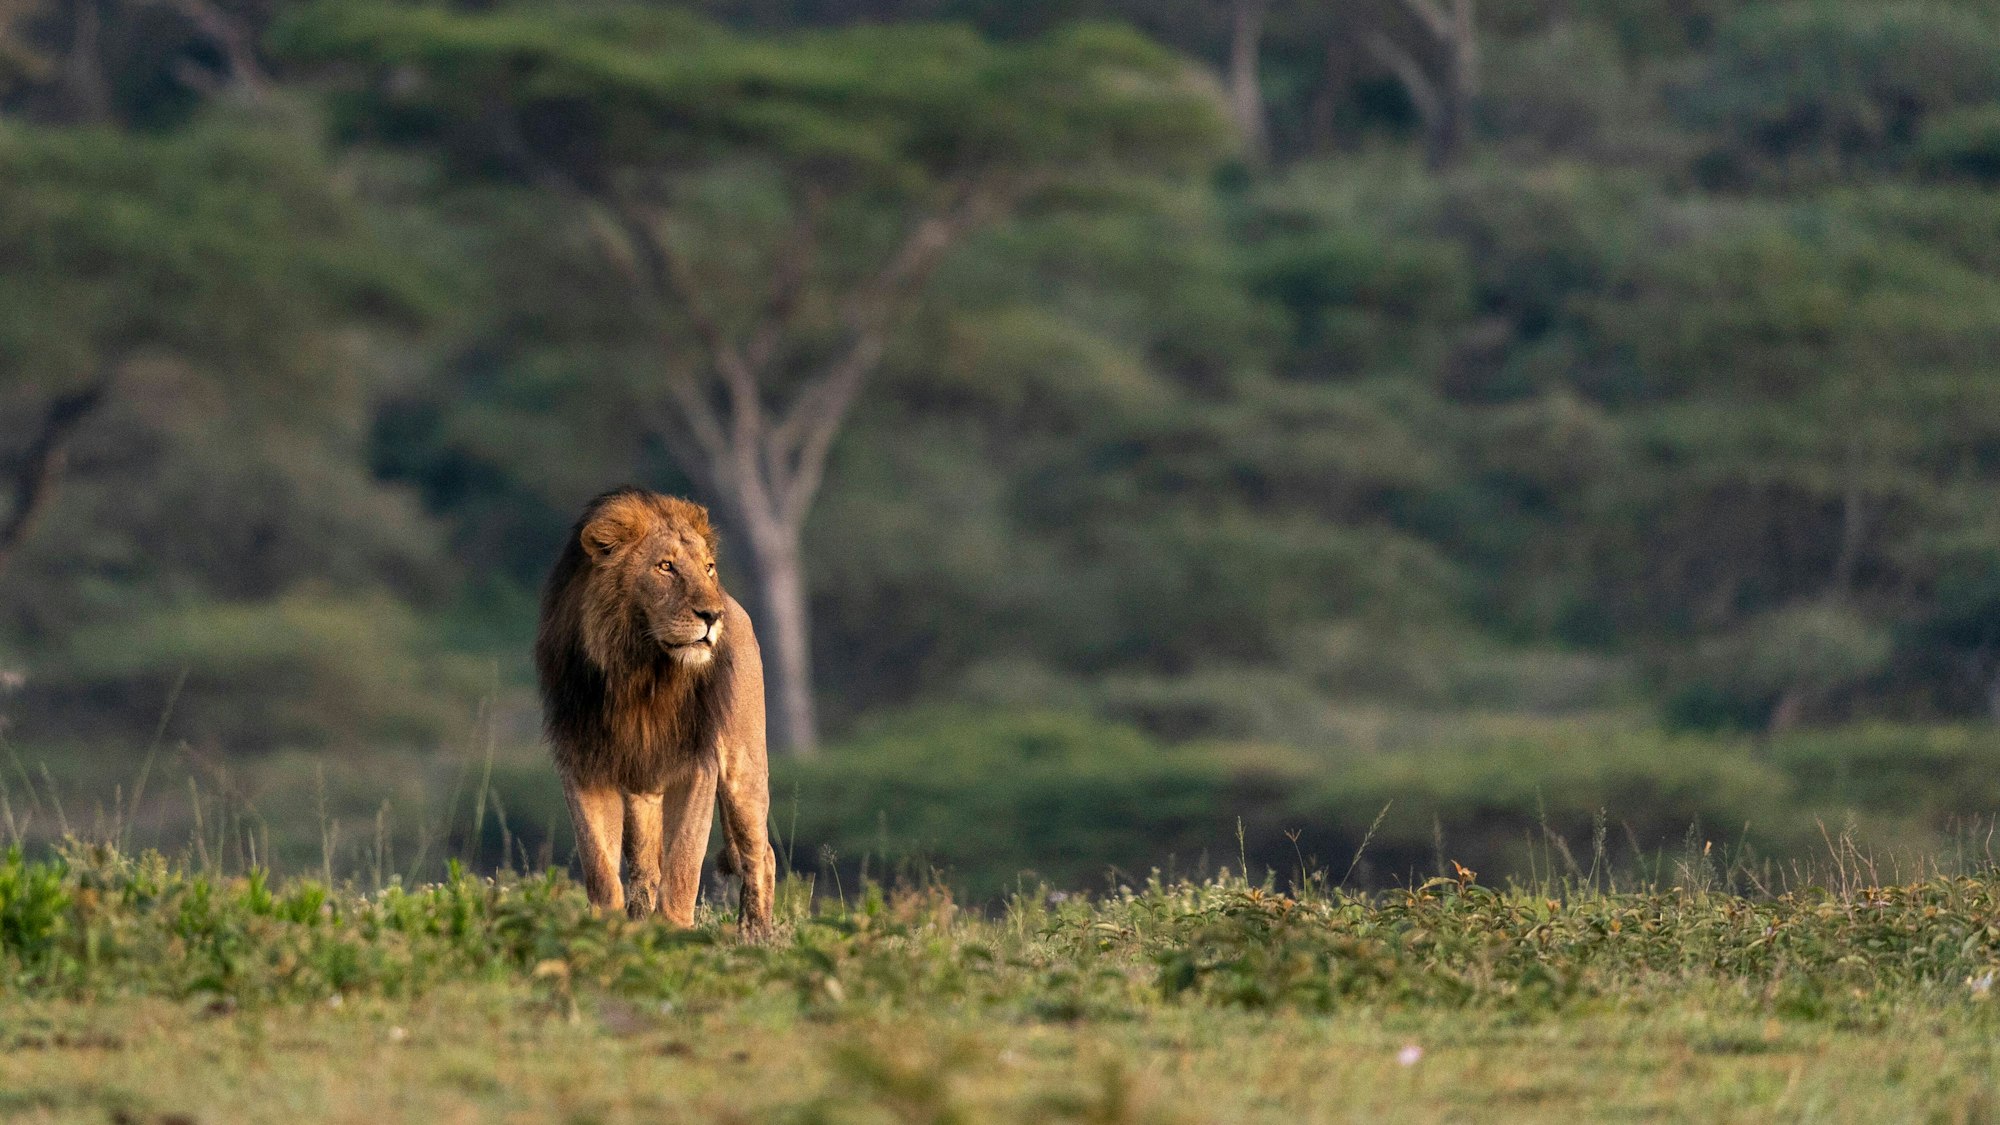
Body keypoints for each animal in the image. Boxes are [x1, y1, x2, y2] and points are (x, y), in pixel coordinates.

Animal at [534, 487, 775, 932]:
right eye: (666, 567)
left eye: (708, 568)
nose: (713, 616)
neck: (641, 673)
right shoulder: (584, 766)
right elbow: (599, 865)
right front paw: (606, 930)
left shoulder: (698, 764)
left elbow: (683, 864)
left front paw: (674, 933)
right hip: (641, 791)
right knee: (646, 867)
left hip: (743, 769)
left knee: (759, 855)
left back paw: (755, 935)